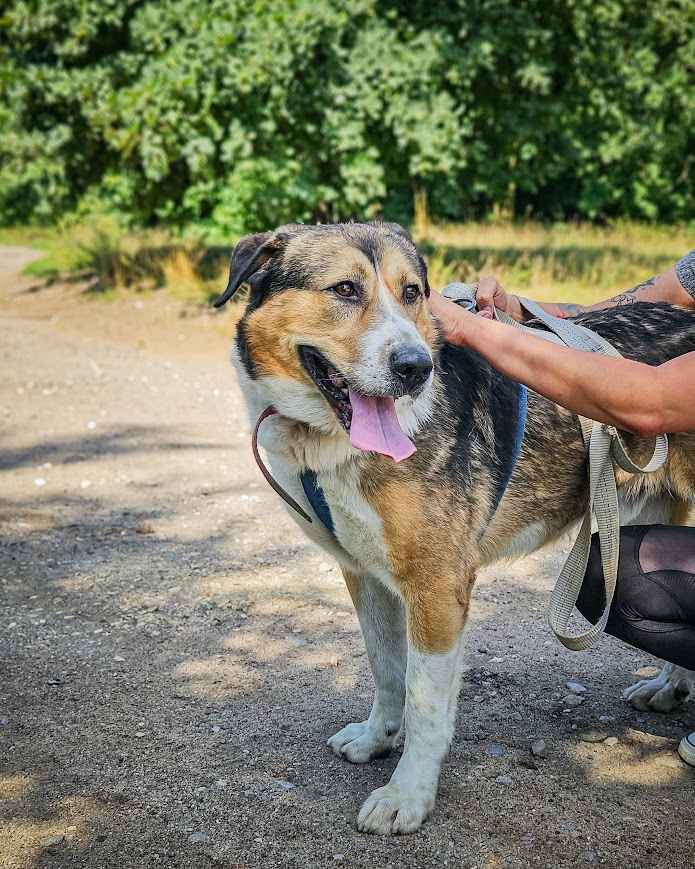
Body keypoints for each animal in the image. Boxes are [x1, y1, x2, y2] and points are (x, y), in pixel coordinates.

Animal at [216, 222, 695, 836]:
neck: (332, 446)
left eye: (413, 293)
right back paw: (668, 688)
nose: (415, 367)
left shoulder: (437, 585)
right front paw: (377, 738)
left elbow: (424, 700)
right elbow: (386, 669)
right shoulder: (363, 574)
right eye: (345, 289)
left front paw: (408, 795)